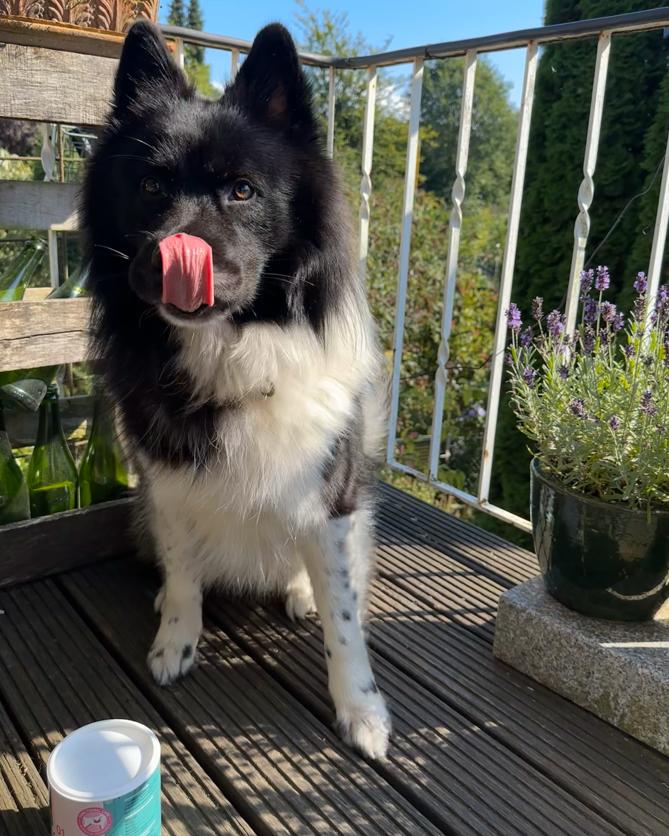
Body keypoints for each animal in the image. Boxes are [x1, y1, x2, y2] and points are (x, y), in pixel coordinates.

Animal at [81, 21, 388, 756]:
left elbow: (344, 624)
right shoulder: (164, 483)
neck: (234, 351)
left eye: (243, 191)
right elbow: (183, 570)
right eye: (150, 184)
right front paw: (176, 638)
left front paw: (361, 711)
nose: (170, 258)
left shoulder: (332, 499)